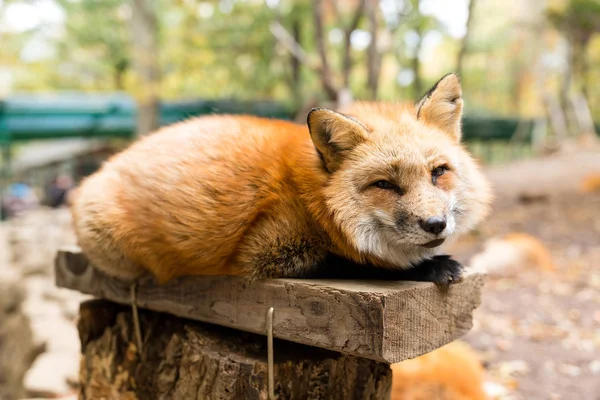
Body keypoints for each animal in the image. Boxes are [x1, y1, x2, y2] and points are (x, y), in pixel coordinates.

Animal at [71, 73, 492, 282]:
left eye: (439, 173)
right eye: (384, 185)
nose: (435, 224)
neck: (316, 200)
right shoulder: (263, 253)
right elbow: (361, 265)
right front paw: (429, 267)